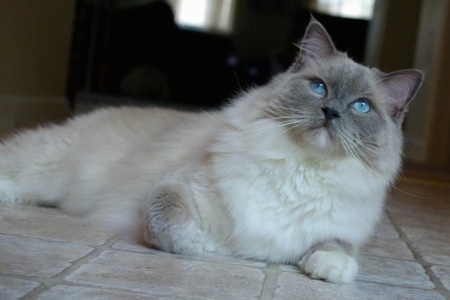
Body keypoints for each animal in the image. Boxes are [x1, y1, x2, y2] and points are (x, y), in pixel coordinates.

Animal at [0, 19, 422, 284]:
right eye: (319, 87)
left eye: (361, 107)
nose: (331, 112)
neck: (302, 168)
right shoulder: (176, 188)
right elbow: (172, 224)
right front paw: (201, 245)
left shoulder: (339, 229)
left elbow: (335, 247)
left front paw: (330, 269)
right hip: (43, 167)